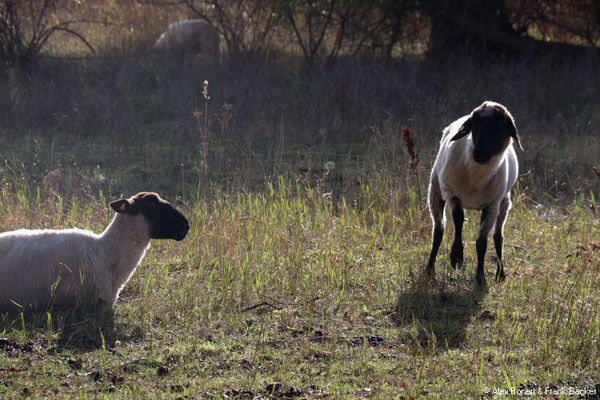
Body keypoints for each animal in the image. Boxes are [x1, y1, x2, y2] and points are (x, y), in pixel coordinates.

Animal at [424, 101, 524, 286]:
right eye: (475, 121)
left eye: (502, 124)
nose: (481, 154)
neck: (475, 178)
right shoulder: (451, 194)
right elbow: (458, 220)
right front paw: (456, 257)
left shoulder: (491, 205)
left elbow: (482, 243)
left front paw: (480, 278)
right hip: (435, 191)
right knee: (439, 230)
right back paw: (430, 268)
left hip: (504, 202)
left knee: (498, 236)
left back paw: (501, 273)